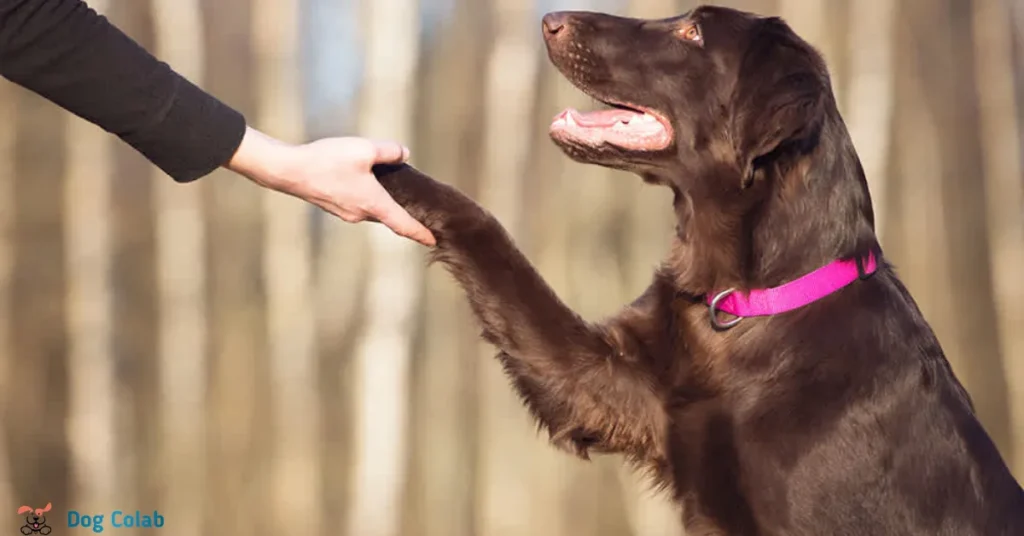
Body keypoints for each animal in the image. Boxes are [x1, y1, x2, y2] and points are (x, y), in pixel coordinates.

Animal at [372, 5, 1019, 536]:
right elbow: (489, 236)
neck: (748, 300)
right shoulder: (605, 385)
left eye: (692, 33)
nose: (550, 20)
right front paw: (379, 169)